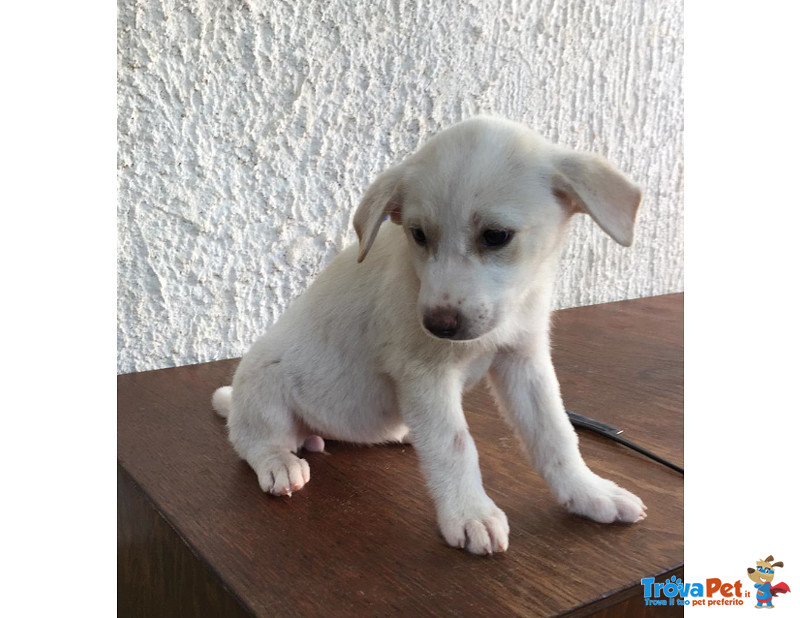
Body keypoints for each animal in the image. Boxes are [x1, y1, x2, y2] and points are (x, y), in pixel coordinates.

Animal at [211, 115, 644, 552]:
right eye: (418, 234)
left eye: (496, 236)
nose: (438, 326)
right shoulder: (425, 374)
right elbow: (454, 446)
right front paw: (470, 513)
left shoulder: (524, 362)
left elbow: (556, 435)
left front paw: (589, 492)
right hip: (265, 380)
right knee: (251, 440)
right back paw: (279, 462)